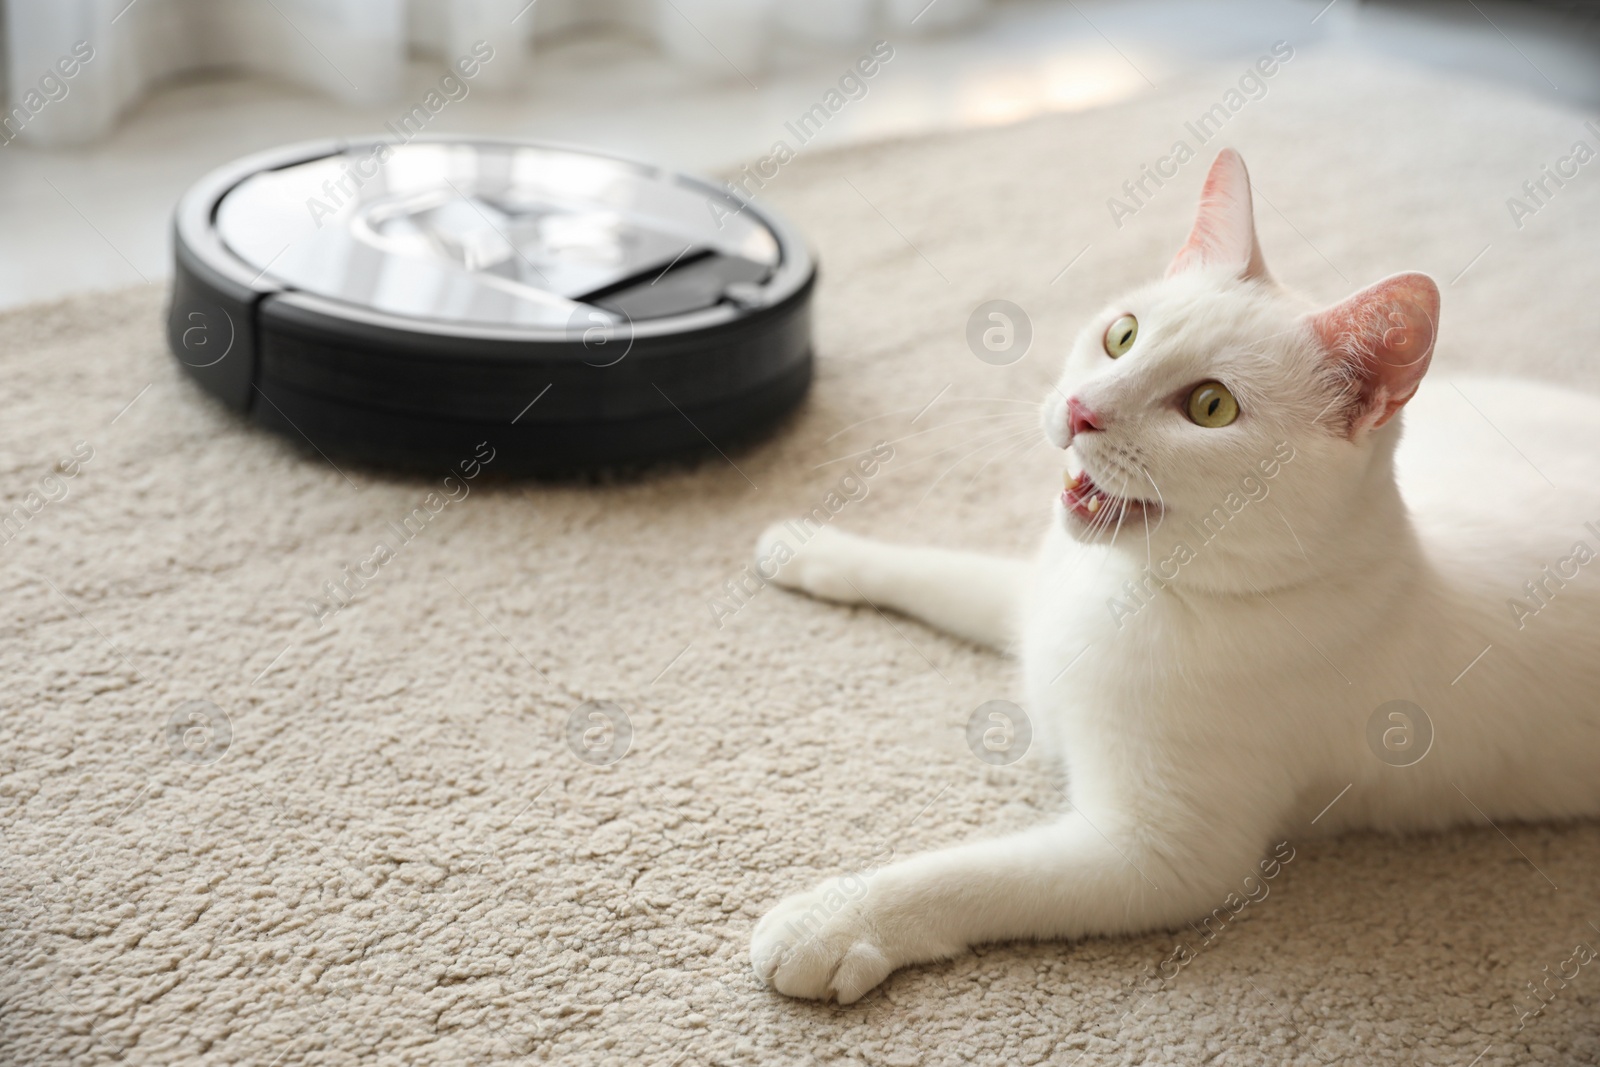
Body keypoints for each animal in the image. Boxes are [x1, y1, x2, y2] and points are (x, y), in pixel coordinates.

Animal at [745, 147, 1600, 1004]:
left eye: (1211, 406)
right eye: (1121, 335)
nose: (1081, 408)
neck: (1128, 588)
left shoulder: (1156, 858)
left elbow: (972, 875)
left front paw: (838, 918)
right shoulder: (1034, 596)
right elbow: (936, 569)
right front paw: (812, 548)